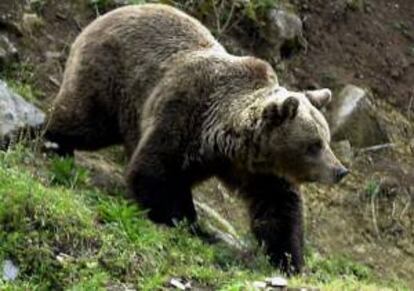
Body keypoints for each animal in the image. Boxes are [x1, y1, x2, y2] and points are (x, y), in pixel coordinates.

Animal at [44, 3, 350, 274]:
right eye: (314, 144)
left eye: (326, 139)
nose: (340, 171)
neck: (228, 144)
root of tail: (103, 17)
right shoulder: (183, 113)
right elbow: (154, 171)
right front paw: (180, 220)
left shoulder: (260, 171)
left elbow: (279, 209)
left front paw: (289, 259)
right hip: (113, 80)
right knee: (86, 121)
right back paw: (54, 144)